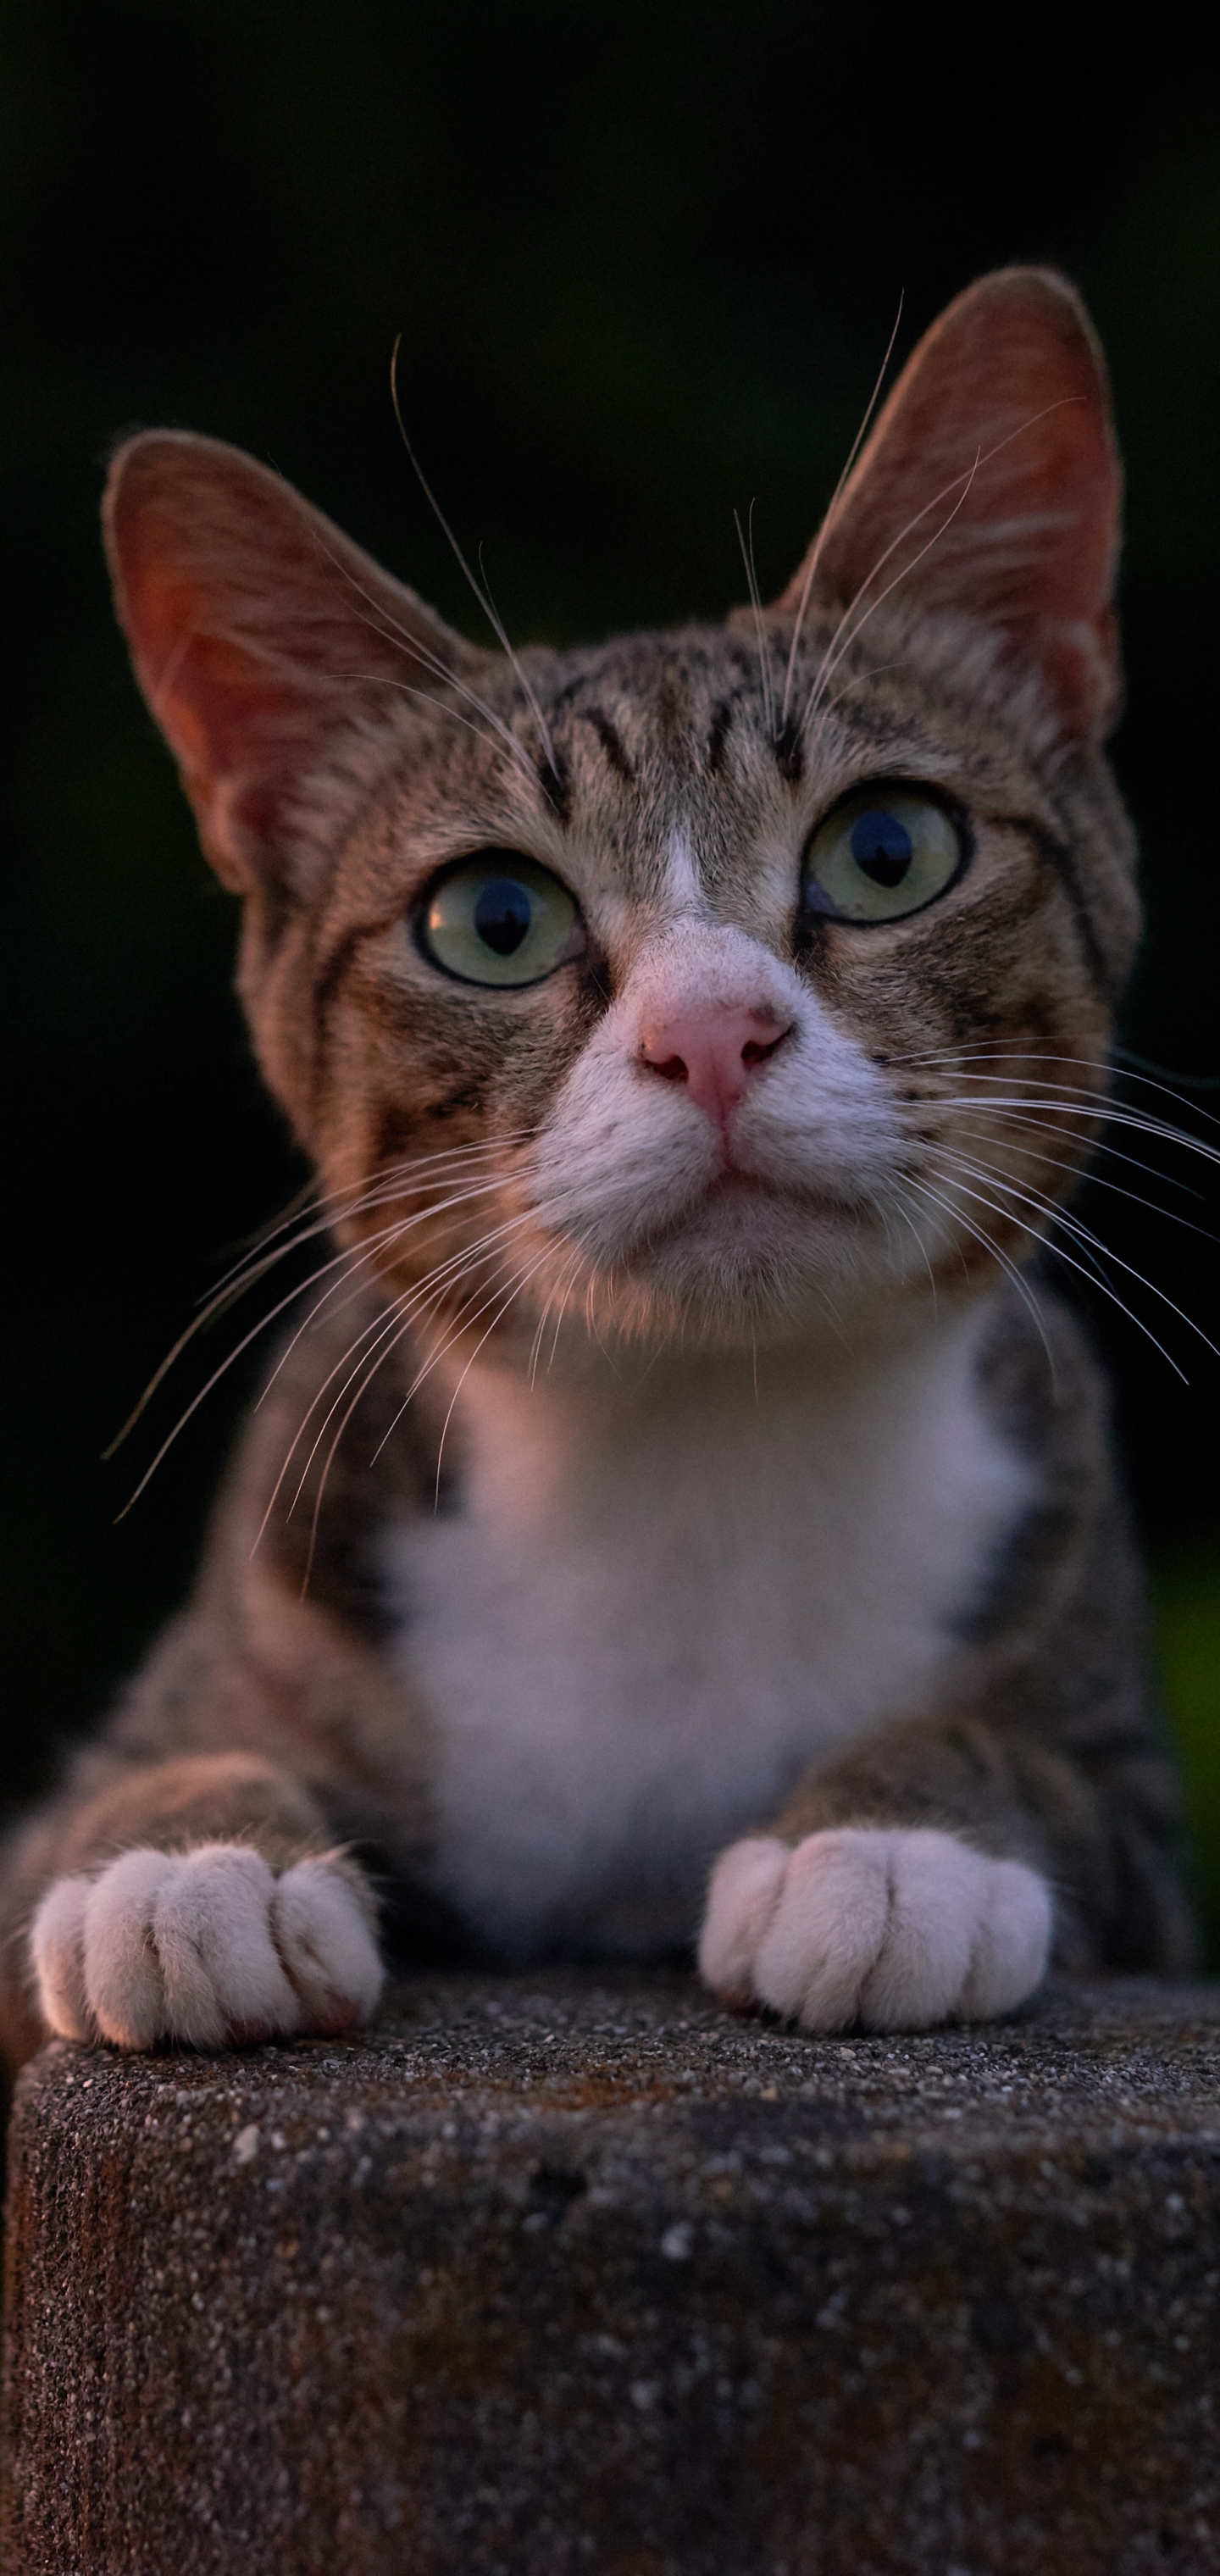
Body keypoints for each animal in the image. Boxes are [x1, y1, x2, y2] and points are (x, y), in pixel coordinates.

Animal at [0, 266, 1199, 2071]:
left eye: (890, 849)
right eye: (494, 921)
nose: (709, 1032)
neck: (696, 1446)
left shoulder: (1127, 1781)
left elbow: (1037, 1765)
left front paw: (888, 1846)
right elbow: (127, 1782)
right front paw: (191, 1862)